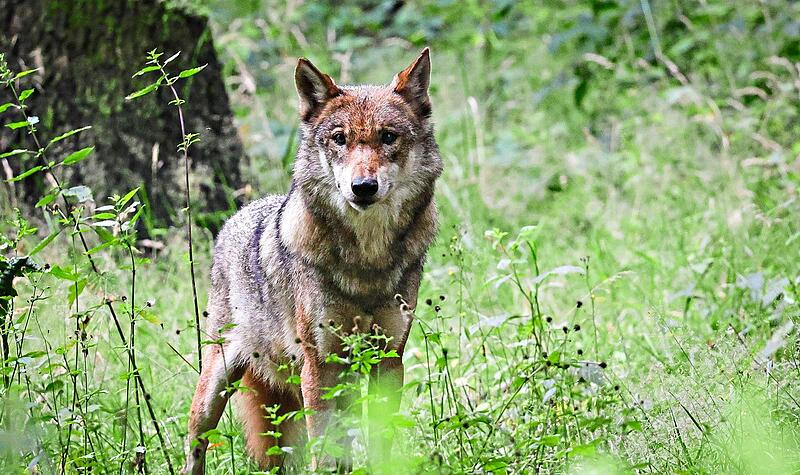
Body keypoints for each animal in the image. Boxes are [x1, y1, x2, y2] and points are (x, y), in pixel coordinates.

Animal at [181, 48, 442, 474]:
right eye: (339, 138)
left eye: (388, 137)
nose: (363, 187)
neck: (366, 260)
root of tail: (237, 216)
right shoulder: (320, 365)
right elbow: (324, 450)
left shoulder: (388, 360)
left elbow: (381, 442)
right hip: (216, 387)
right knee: (196, 445)